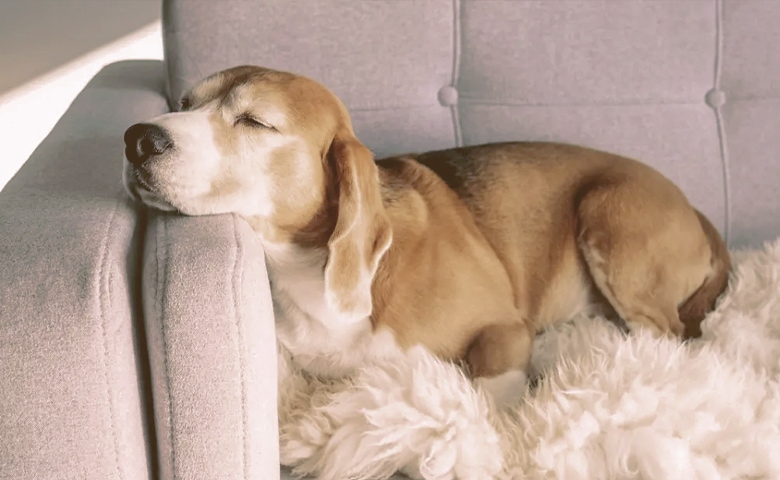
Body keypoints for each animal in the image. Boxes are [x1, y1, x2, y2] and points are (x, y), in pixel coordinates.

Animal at [122, 65, 732, 406]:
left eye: (254, 122)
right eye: (184, 104)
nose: (136, 138)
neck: (304, 270)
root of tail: (694, 208)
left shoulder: (504, 329)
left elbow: (490, 393)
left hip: (608, 214)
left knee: (666, 334)